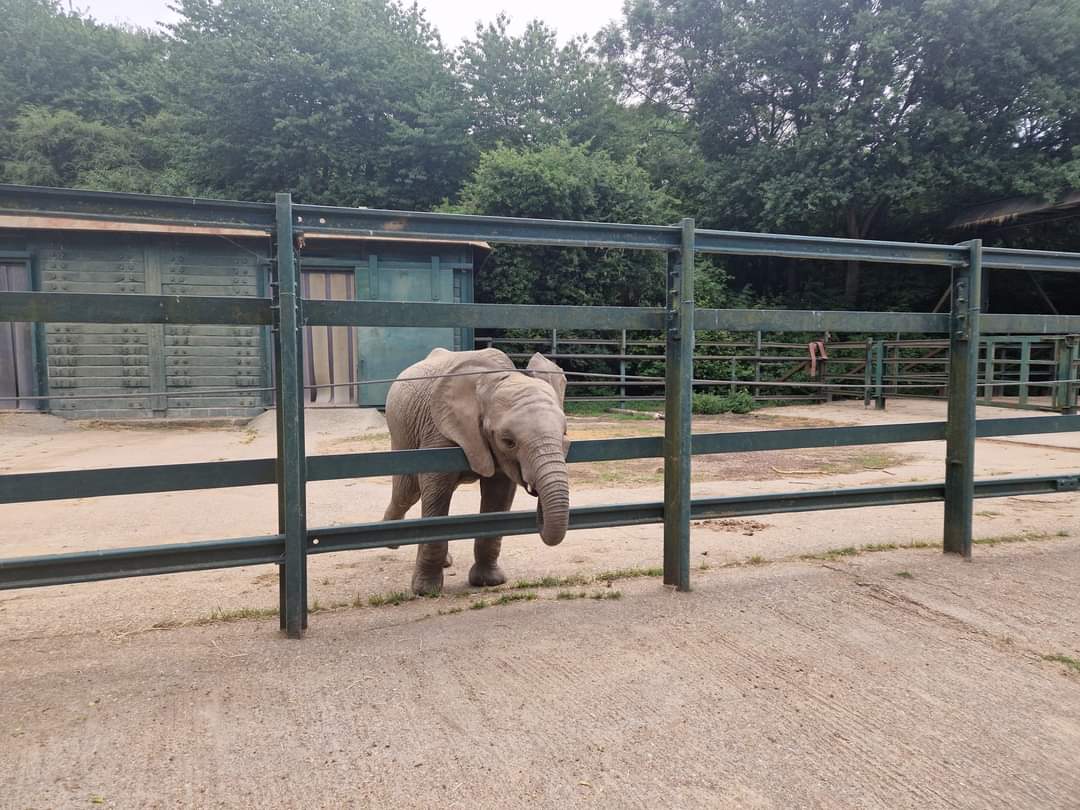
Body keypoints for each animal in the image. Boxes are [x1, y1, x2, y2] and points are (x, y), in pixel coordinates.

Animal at [382, 347, 570, 595]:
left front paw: (488, 582)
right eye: (508, 441)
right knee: (408, 491)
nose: (534, 490)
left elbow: (498, 496)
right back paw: (391, 542)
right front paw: (426, 591)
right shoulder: (439, 430)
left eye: (564, 434)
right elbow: (436, 490)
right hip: (401, 431)